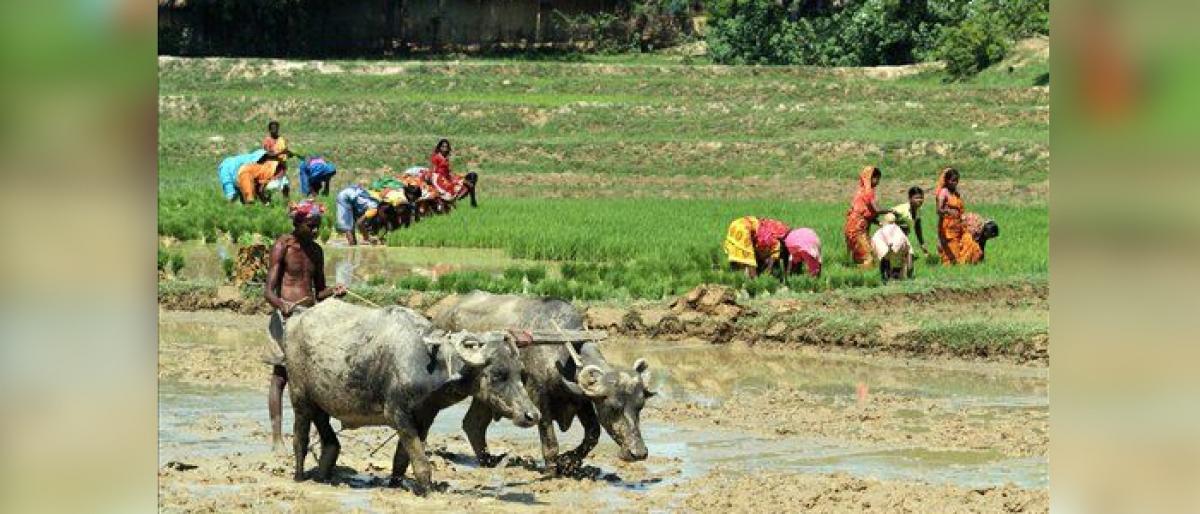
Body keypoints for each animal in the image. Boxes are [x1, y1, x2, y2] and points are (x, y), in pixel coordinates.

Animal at [429, 290, 657, 475]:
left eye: (640, 407)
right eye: (613, 407)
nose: (638, 453)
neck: (560, 355)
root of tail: (441, 315)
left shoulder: (581, 399)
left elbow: (593, 433)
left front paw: (569, 462)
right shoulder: (538, 396)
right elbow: (550, 439)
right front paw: (552, 467)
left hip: (488, 394)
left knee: (473, 424)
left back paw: (490, 461)